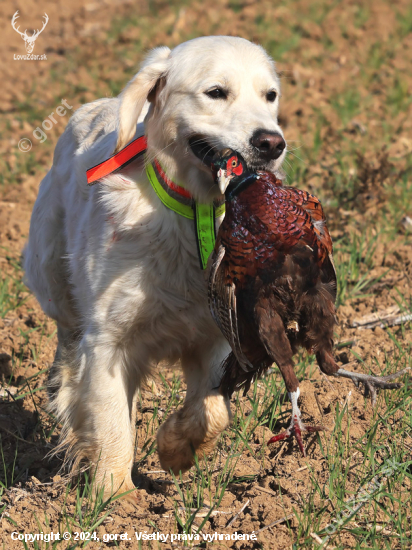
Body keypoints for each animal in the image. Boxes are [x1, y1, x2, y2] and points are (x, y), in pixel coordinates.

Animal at [24, 35, 284, 500]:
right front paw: (114, 498)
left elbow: (213, 411)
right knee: (67, 352)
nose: (272, 143)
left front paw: (175, 448)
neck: (192, 212)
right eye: (216, 92)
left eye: (270, 96)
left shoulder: (215, 338)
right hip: (54, 283)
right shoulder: (108, 341)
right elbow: (112, 426)